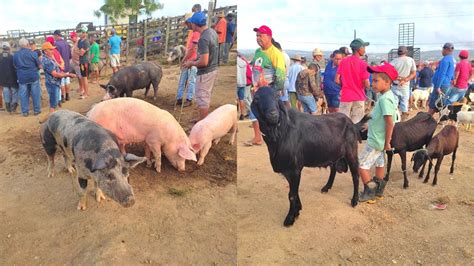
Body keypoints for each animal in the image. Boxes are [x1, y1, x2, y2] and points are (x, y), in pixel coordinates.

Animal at [252, 87, 366, 227]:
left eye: (276, 96)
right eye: (257, 99)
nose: (273, 114)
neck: (281, 131)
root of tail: (352, 123)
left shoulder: (294, 169)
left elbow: (292, 195)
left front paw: (290, 217)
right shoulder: (289, 171)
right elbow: (294, 192)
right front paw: (298, 209)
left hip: (351, 153)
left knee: (355, 175)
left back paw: (354, 200)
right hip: (333, 154)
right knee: (334, 169)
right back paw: (326, 187)